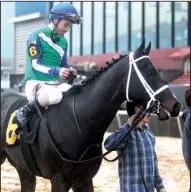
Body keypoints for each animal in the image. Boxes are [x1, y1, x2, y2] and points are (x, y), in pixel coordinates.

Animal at [0, 41, 181, 191]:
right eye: (150, 71)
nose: (176, 105)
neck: (79, 124)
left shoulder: (84, 179)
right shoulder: (58, 179)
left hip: (23, 168)